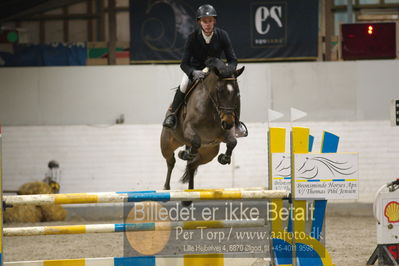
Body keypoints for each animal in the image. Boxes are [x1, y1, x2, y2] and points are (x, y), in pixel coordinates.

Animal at [161, 57, 245, 196]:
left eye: (237, 93)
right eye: (220, 91)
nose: (228, 123)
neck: (211, 109)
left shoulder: (225, 133)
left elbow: (233, 142)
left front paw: (224, 158)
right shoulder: (188, 129)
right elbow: (195, 141)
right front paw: (186, 154)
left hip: (209, 153)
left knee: (192, 166)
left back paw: (190, 191)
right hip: (167, 143)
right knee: (170, 161)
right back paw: (166, 187)